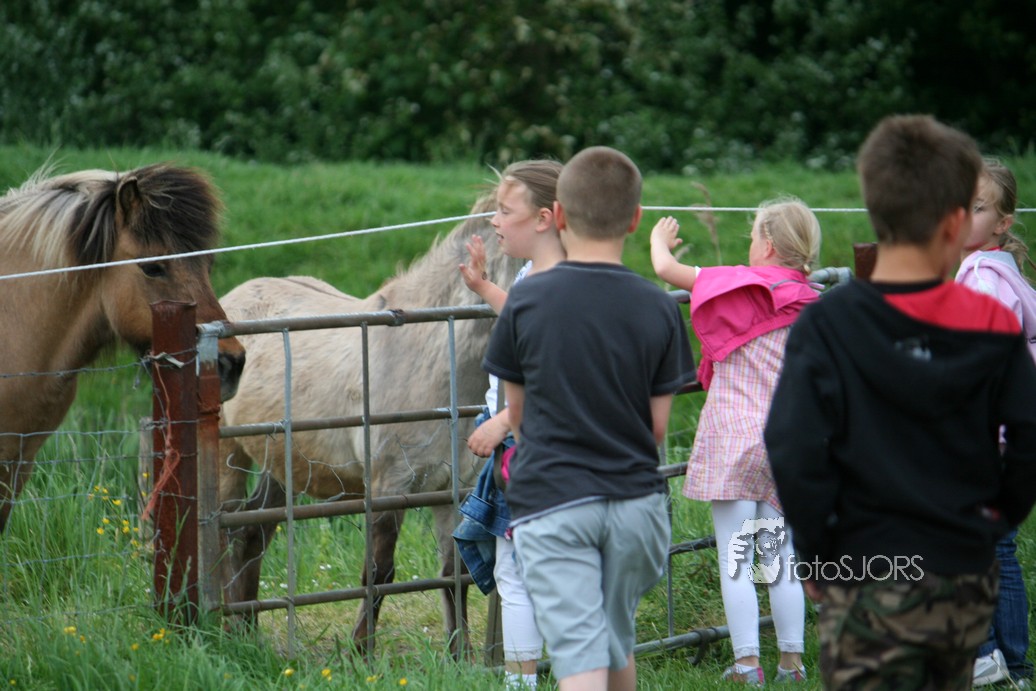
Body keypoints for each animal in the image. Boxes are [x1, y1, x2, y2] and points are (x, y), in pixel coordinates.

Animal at [217, 192, 522, 655]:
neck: (434, 354)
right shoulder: (387, 487)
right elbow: (378, 572)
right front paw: (361, 652)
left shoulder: (452, 490)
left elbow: (455, 574)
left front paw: (460, 657)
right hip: (228, 453)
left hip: (283, 463)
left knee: (254, 530)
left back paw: (248, 634)